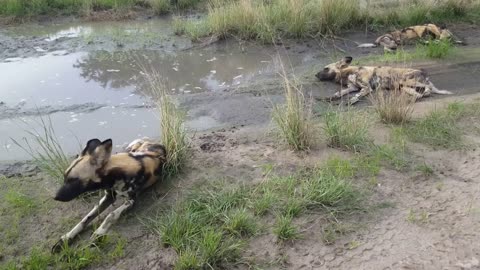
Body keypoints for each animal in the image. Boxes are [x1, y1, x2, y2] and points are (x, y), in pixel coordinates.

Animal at [316, 56, 454, 104]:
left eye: (325, 68)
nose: (316, 75)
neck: (347, 73)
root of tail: (425, 74)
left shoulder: (366, 88)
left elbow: (357, 96)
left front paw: (352, 101)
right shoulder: (352, 87)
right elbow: (338, 93)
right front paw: (329, 98)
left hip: (407, 82)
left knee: (427, 90)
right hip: (404, 87)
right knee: (419, 94)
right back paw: (410, 99)